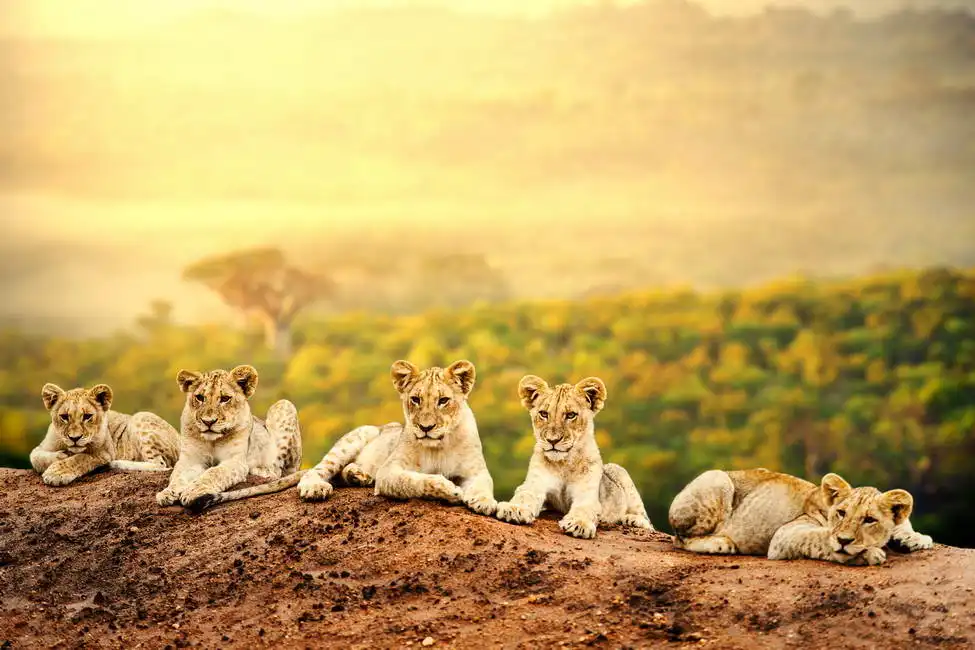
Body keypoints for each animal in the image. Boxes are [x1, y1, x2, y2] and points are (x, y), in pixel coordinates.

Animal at [30, 383, 179, 486]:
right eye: (64, 417)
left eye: (87, 416)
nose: (74, 438)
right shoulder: (43, 446)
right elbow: (35, 457)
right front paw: (60, 456)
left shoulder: (104, 452)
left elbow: (80, 458)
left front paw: (56, 473)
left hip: (140, 416)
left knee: (162, 465)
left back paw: (116, 463)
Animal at [155, 365, 303, 511]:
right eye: (200, 397)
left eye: (225, 398)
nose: (208, 422)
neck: (212, 441)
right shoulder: (190, 460)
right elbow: (179, 476)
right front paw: (167, 493)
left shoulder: (235, 460)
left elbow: (214, 473)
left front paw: (193, 492)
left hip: (283, 405)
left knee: (279, 470)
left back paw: (262, 470)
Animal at [297, 359, 497, 516]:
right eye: (416, 399)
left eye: (443, 400)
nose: (426, 428)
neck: (439, 446)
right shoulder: (388, 471)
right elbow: (415, 480)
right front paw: (448, 488)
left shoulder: (476, 470)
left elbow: (484, 484)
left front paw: (485, 502)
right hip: (355, 439)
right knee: (317, 470)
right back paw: (315, 487)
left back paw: (359, 476)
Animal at [494, 375, 652, 539]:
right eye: (543, 414)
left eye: (571, 415)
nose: (552, 440)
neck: (564, 463)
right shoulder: (535, 484)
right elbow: (524, 495)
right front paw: (514, 509)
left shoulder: (587, 495)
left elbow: (584, 509)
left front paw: (579, 524)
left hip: (619, 470)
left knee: (647, 519)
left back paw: (632, 520)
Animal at [669, 468, 934, 565]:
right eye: (841, 513)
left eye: (869, 520)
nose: (845, 540)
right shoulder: (784, 536)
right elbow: (821, 539)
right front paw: (866, 553)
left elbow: (903, 522)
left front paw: (916, 538)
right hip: (719, 479)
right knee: (680, 539)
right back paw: (720, 543)